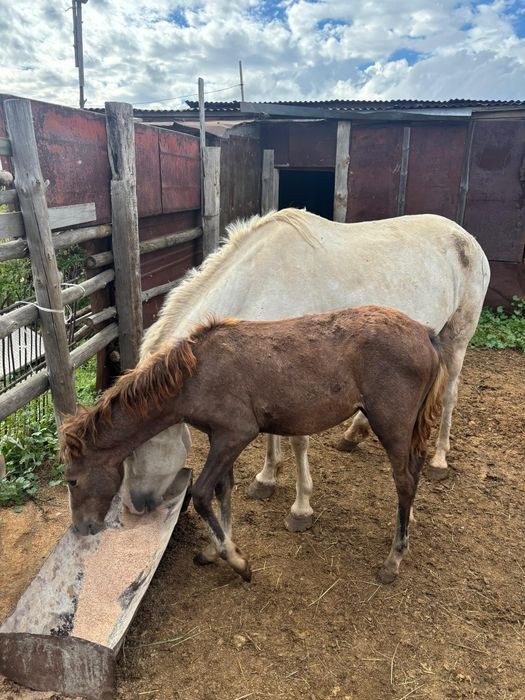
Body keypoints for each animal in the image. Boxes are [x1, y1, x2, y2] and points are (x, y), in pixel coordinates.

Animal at [61, 306, 447, 584]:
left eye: (72, 480)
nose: (82, 527)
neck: (196, 374)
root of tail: (425, 334)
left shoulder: (236, 435)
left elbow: (202, 493)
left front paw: (236, 561)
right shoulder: (220, 437)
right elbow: (223, 489)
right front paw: (216, 550)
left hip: (391, 424)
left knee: (404, 479)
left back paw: (393, 561)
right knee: (413, 471)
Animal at [121, 208, 490, 531]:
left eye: (138, 442)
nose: (133, 506)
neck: (259, 283)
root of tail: (467, 238)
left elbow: (298, 441)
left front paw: (300, 510)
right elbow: (271, 432)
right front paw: (266, 479)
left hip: (456, 340)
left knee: (451, 396)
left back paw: (439, 461)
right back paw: (353, 434)